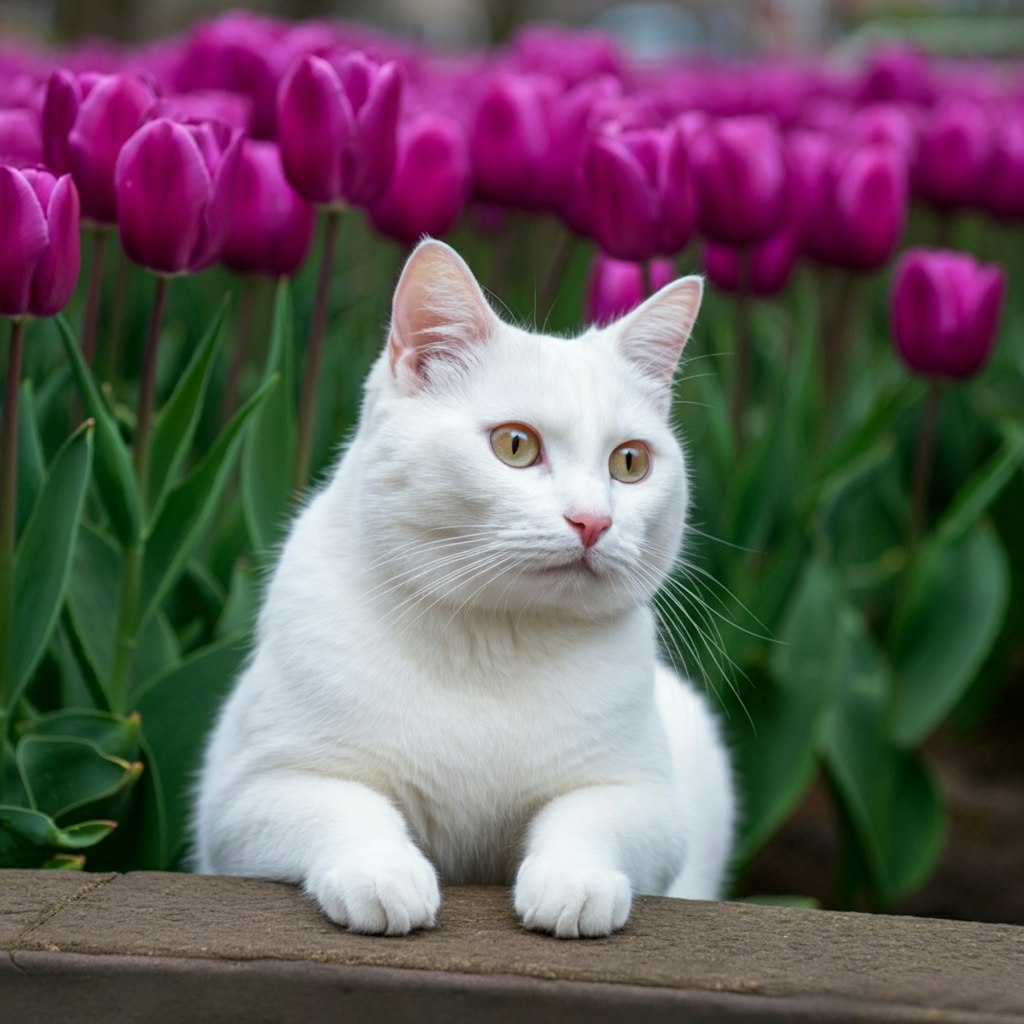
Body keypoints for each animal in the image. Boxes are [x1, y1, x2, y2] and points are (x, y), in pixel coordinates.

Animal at [192, 239, 737, 937]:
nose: (594, 520)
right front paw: (383, 874)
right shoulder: (251, 795)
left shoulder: (646, 802)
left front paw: (574, 882)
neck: (490, 639)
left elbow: (586, 818)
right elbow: (347, 807)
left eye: (630, 462)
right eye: (515, 445)